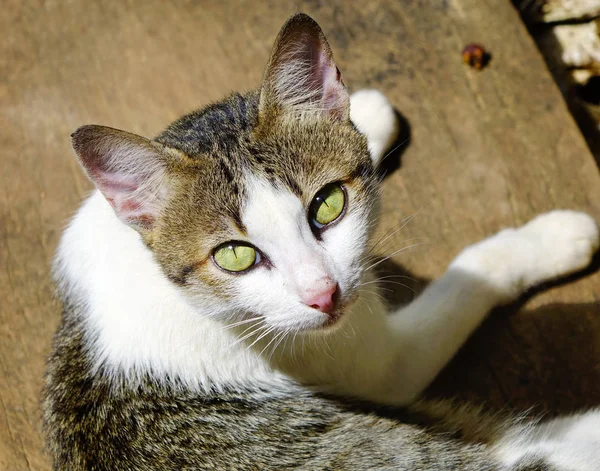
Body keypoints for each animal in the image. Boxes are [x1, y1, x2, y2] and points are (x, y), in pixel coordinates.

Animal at [44, 12, 600, 471]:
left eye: (328, 204)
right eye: (235, 256)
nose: (322, 295)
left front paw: (366, 114)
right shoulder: (382, 364)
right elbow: (470, 274)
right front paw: (551, 239)